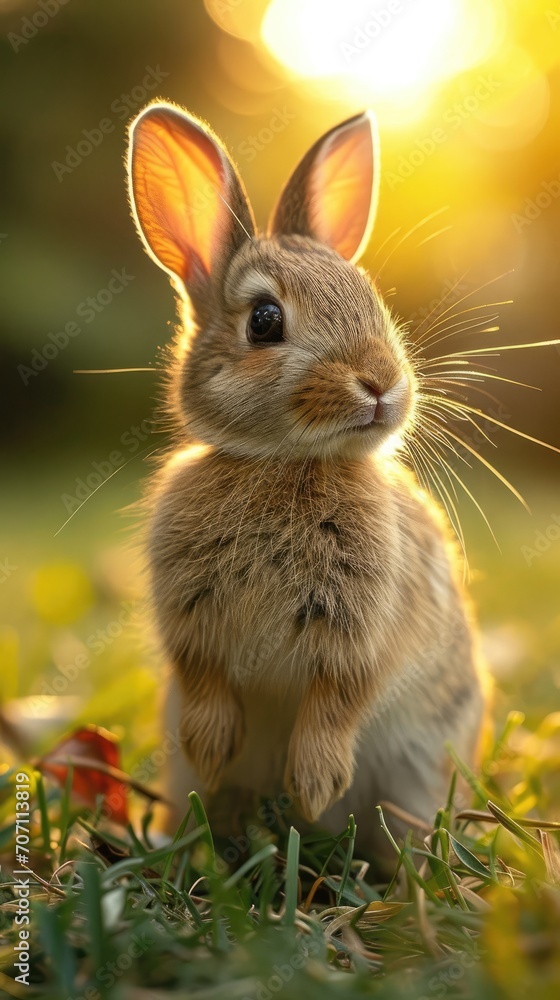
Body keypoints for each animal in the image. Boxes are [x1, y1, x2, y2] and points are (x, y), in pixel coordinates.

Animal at [126, 101, 485, 860]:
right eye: (265, 321)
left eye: (373, 301)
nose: (381, 383)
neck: (285, 462)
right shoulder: (189, 621)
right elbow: (204, 678)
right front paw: (213, 745)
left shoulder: (366, 628)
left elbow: (340, 698)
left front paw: (315, 783)